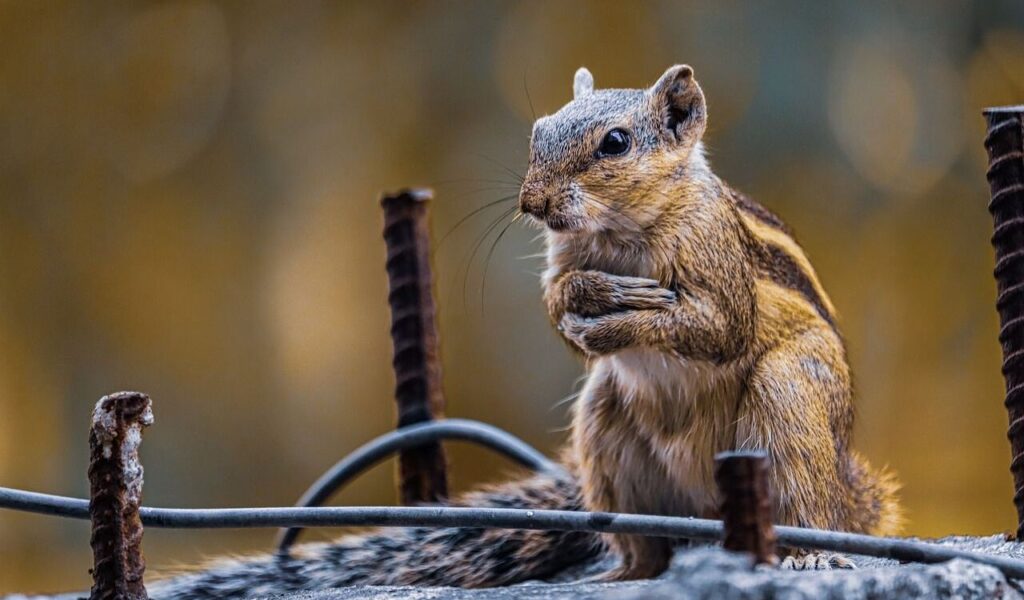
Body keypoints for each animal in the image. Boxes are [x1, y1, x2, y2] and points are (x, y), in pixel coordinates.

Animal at [146, 65, 900, 599]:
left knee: (806, 502)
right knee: (648, 548)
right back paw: (620, 574)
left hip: (788, 402)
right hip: (604, 432)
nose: (532, 203)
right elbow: (559, 308)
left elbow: (717, 327)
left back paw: (807, 550)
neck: (619, 232)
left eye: (616, 142)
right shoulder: (563, 262)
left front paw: (630, 310)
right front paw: (592, 299)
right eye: (539, 131)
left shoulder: (716, 263)